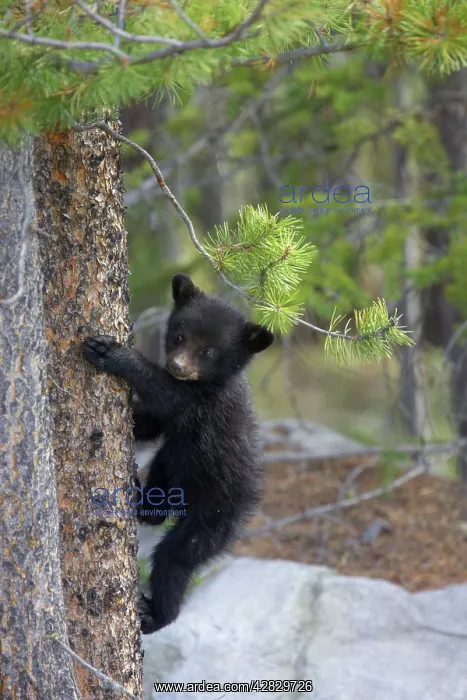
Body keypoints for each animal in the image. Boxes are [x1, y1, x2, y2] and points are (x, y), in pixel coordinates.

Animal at [82, 273, 274, 634]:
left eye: (208, 350)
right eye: (179, 335)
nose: (177, 365)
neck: (208, 383)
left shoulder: (203, 405)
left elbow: (165, 394)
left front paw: (113, 353)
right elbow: (150, 423)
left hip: (213, 516)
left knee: (176, 556)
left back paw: (155, 614)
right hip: (174, 468)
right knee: (159, 498)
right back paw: (142, 499)